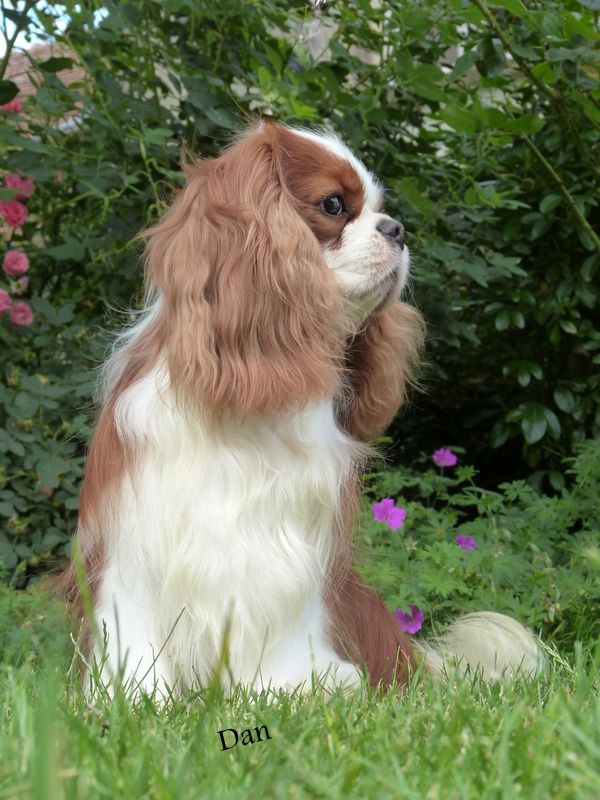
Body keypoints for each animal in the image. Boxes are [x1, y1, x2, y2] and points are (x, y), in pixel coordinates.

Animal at [61, 122, 543, 697]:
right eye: (334, 205)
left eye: (379, 208)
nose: (397, 228)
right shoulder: (134, 547)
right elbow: (133, 639)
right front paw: (133, 701)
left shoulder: (284, 548)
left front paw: (287, 691)